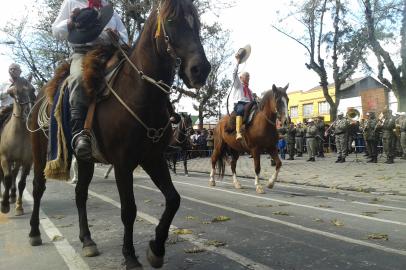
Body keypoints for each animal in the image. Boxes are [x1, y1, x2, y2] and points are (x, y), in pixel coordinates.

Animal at [28, 1, 211, 268]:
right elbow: (129, 210)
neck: (140, 91)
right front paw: (130, 256)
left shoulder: (153, 159)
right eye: (171, 21)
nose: (200, 70)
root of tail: (44, 93)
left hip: (85, 159)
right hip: (40, 152)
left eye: (196, 22)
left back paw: (87, 240)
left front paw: (156, 249)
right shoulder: (123, 164)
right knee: (38, 187)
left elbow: (173, 199)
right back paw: (34, 232)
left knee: (80, 194)